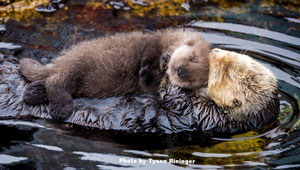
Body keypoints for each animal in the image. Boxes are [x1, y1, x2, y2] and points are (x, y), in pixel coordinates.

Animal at [19, 29, 211, 121]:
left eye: (192, 80)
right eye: (192, 58)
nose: (180, 71)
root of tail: (62, 61)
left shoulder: (152, 87)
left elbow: (149, 83)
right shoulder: (152, 44)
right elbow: (147, 57)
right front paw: (159, 62)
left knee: (50, 82)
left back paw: (32, 93)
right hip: (77, 66)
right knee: (55, 82)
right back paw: (60, 109)